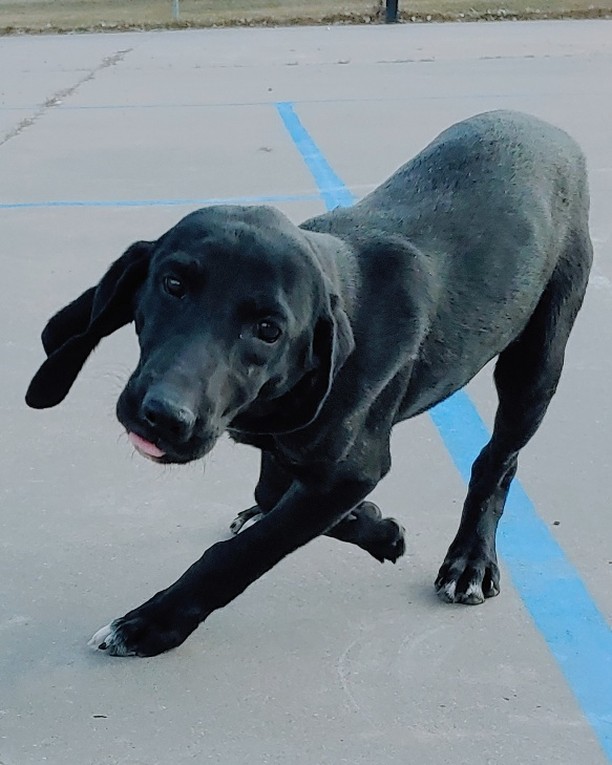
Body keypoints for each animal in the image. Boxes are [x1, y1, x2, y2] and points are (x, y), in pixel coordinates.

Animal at [25, 112, 592, 656]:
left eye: (269, 330)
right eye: (173, 284)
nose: (163, 417)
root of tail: (551, 131)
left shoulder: (353, 467)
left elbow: (241, 554)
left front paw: (151, 624)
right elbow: (275, 489)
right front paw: (377, 527)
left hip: (537, 362)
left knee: (498, 460)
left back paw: (470, 560)